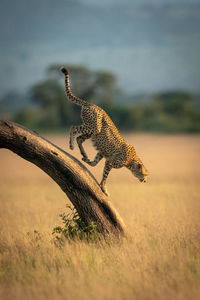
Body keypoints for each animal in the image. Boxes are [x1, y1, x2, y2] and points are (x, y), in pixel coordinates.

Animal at [60, 67, 148, 196]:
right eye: (144, 174)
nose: (145, 180)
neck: (131, 160)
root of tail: (93, 104)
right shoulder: (110, 163)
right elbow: (105, 176)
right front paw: (103, 188)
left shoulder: (103, 152)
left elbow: (96, 162)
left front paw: (88, 161)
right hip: (94, 127)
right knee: (73, 128)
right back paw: (71, 145)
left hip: (93, 131)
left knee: (79, 138)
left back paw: (84, 154)